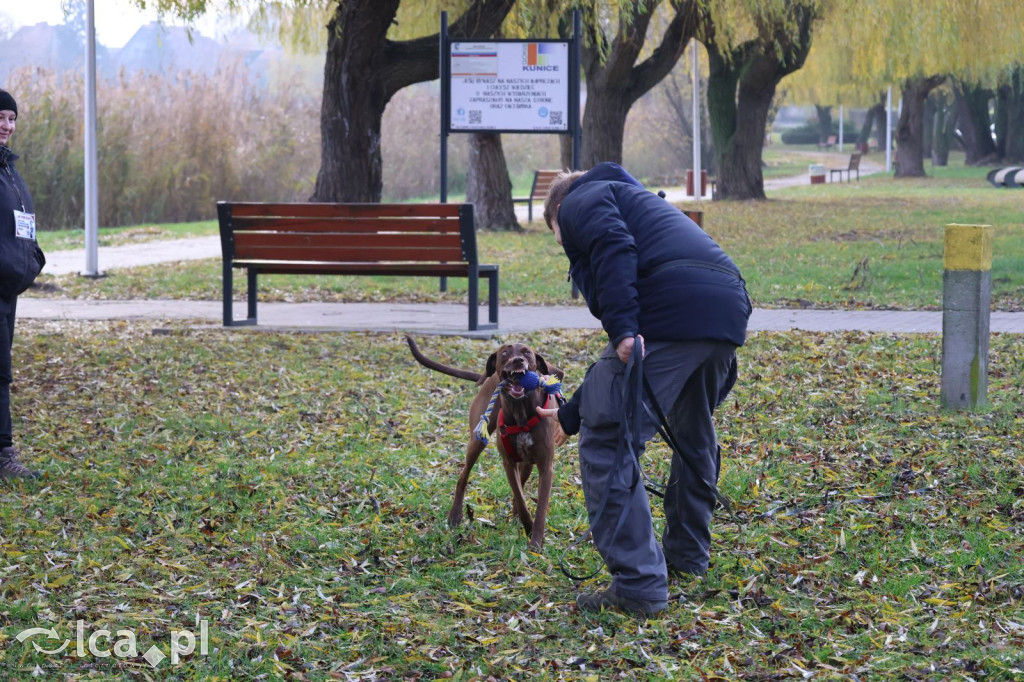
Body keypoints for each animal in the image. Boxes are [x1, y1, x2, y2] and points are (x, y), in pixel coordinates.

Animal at [405, 333, 569, 552]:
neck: (521, 412)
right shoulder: (509, 462)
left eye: (527, 352)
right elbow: (520, 497)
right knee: (463, 475)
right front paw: (528, 527)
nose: (518, 361)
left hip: (527, 462)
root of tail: (488, 378)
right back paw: (455, 516)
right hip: (477, 440)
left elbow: (538, 506)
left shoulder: (545, 466)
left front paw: (535, 540)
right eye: (505, 352)